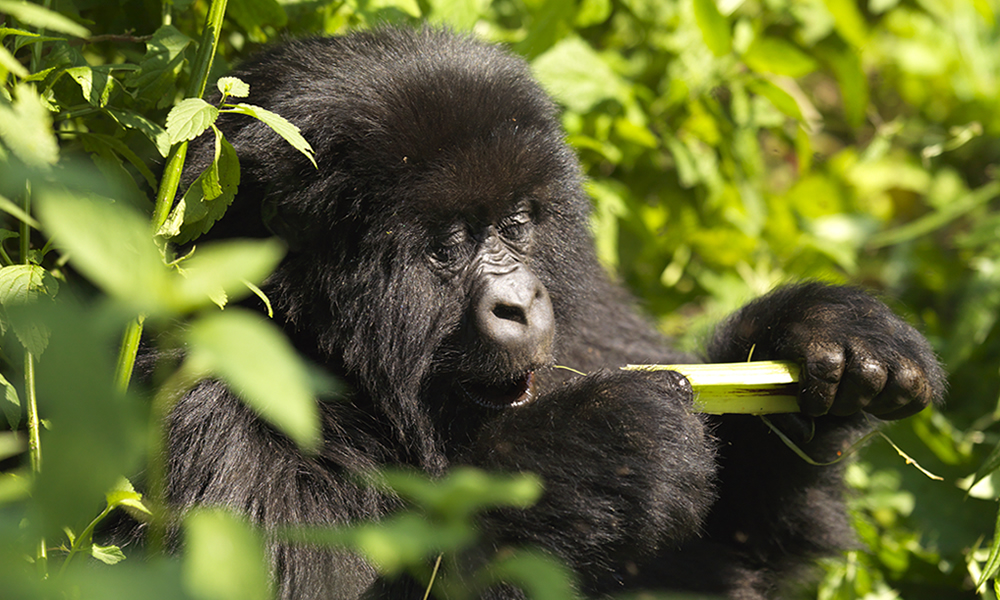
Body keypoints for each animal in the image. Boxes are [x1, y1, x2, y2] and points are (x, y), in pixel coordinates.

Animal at [166, 25, 944, 600]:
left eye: (515, 226)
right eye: (448, 246)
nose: (521, 303)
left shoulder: (583, 298)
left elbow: (714, 558)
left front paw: (820, 330)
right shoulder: (213, 407)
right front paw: (606, 446)